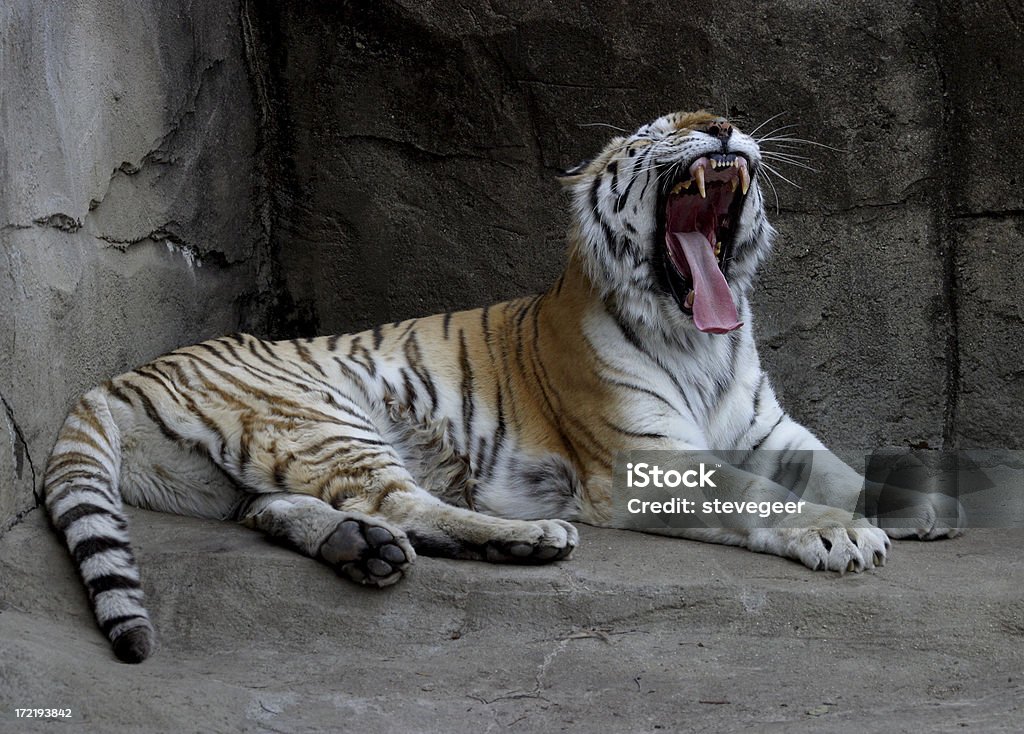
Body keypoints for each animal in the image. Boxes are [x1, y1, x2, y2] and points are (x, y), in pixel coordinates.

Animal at [44, 110, 962, 663]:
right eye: (650, 136)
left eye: (711, 115)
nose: (720, 126)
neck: (699, 338)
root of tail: (121, 374)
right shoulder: (648, 460)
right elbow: (758, 496)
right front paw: (841, 535)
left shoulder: (772, 430)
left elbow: (836, 466)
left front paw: (920, 505)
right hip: (319, 415)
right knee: (402, 503)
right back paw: (527, 539)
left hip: (249, 468)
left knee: (286, 509)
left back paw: (361, 549)